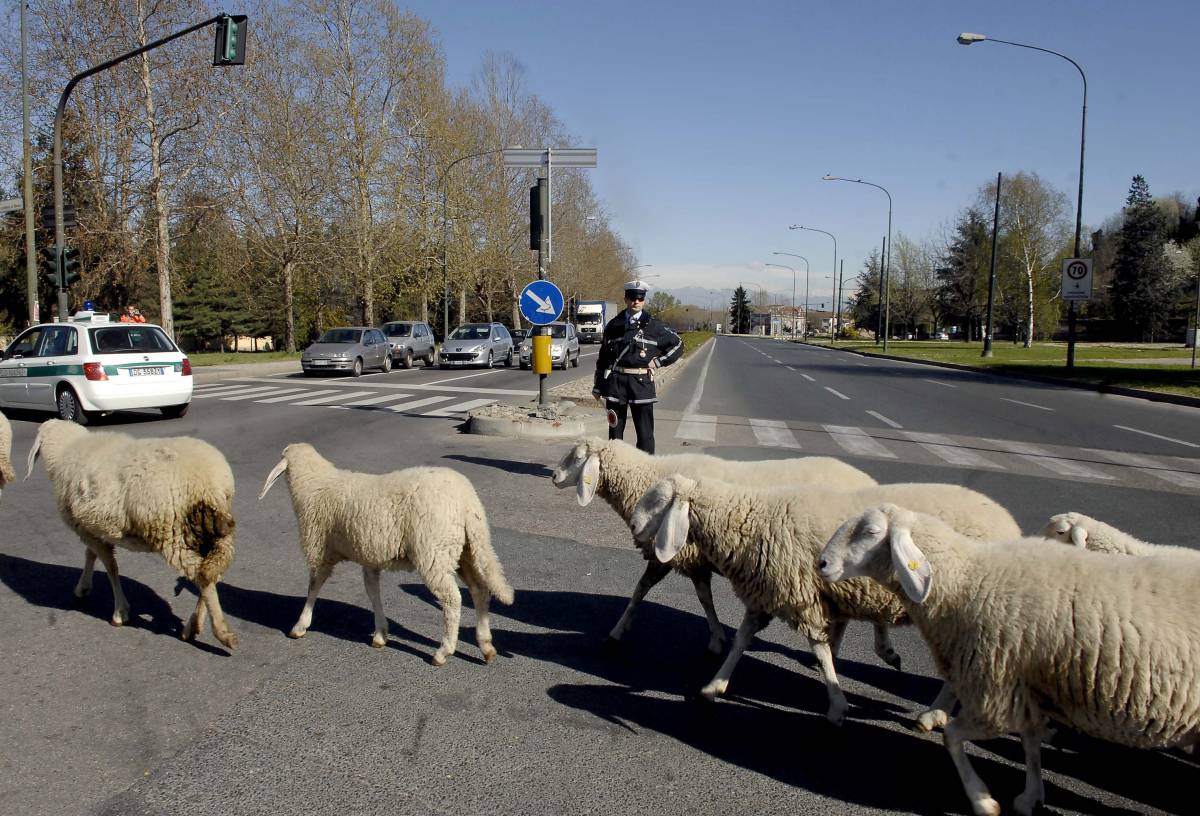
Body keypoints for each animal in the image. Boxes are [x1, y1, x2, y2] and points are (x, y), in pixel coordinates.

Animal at [25, 420, 237, 648]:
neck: (66, 449)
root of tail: (210, 483)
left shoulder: (86, 529)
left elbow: (111, 567)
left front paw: (120, 612)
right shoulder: (91, 528)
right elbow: (91, 555)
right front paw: (83, 588)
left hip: (172, 533)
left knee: (203, 575)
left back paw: (221, 633)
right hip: (213, 531)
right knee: (212, 572)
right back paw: (194, 626)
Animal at [258, 444, 511, 667]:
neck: (315, 484)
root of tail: (467, 501)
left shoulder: (319, 550)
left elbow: (313, 587)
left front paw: (300, 625)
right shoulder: (369, 556)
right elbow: (372, 592)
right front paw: (380, 633)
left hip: (434, 552)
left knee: (452, 599)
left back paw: (443, 651)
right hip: (464, 551)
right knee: (480, 591)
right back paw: (486, 645)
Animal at [552, 439, 883, 657]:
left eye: (577, 457)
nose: (553, 476)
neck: (648, 476)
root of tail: (870, 481)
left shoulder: (673, 554)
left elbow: (639, 591)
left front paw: (617, 631)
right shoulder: (695, 560)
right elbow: (704, 600)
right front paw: (717, 638)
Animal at [633, 475, 1017, 724]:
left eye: (658, 500)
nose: (634, 526)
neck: (751, 519)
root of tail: (1009, 523)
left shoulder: (801, 594)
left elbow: (819, 647)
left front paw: (836, 704)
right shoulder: (767, 593)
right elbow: (742, 640)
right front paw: (714, 686)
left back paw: (933, 713)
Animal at [820, 504, 1200, 816]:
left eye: (870, 531)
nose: (821, 563)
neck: (967, 581)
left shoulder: (994, 693)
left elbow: (953, 737)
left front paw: (982, 800)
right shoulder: (1022, 683)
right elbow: (1030, 746)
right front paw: (1030, 797)